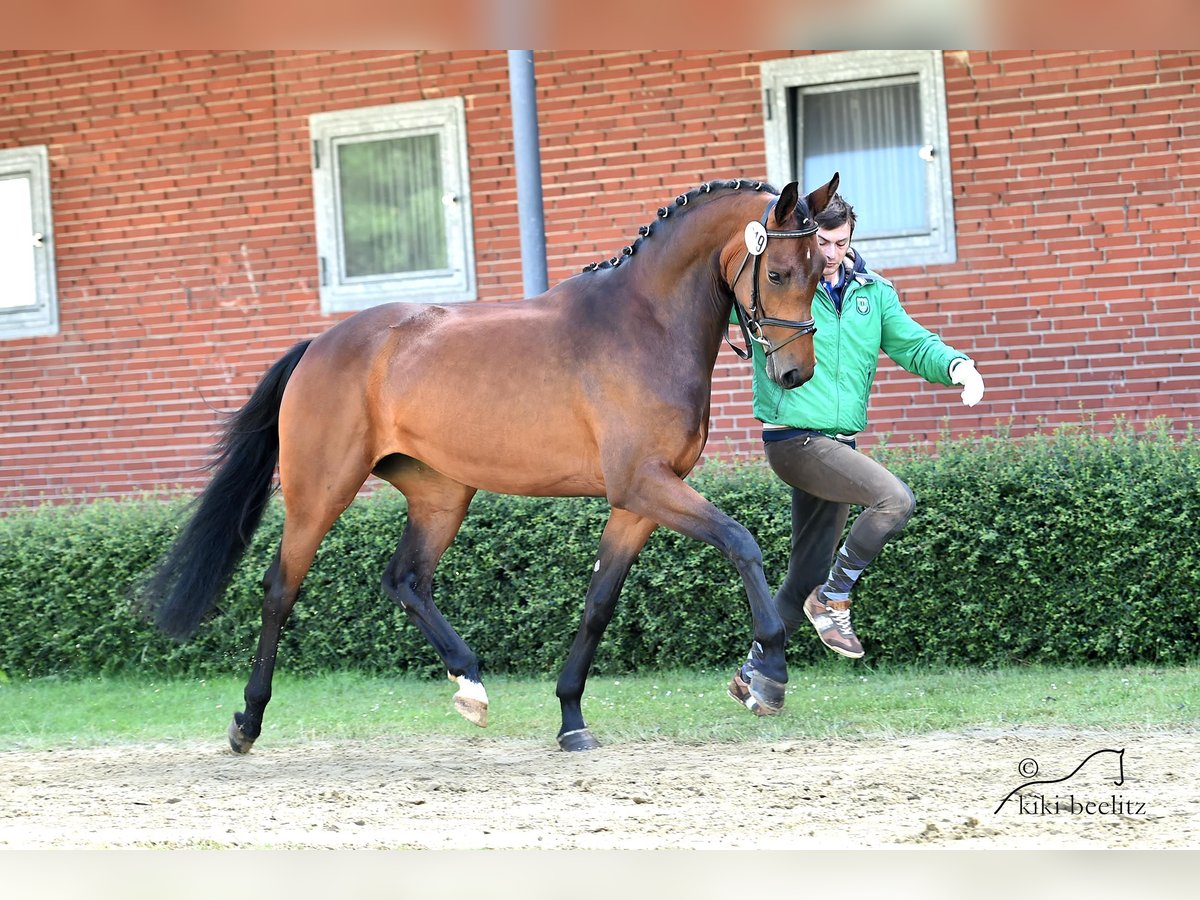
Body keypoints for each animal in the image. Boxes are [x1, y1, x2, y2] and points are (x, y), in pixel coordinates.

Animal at [145, 172, 840, 748]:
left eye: (820, 272)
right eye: (779, 273)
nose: (795, 373)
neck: (644, 324)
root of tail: (320, 344)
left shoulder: (638, 502)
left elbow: (599, 603)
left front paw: (571, 718)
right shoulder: (645, 484)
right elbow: (741, 541)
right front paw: (768, 674)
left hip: (441, 494)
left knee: (405, 579)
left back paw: (470, 685)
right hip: (321, 491)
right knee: (280, 589)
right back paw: (247, 720)